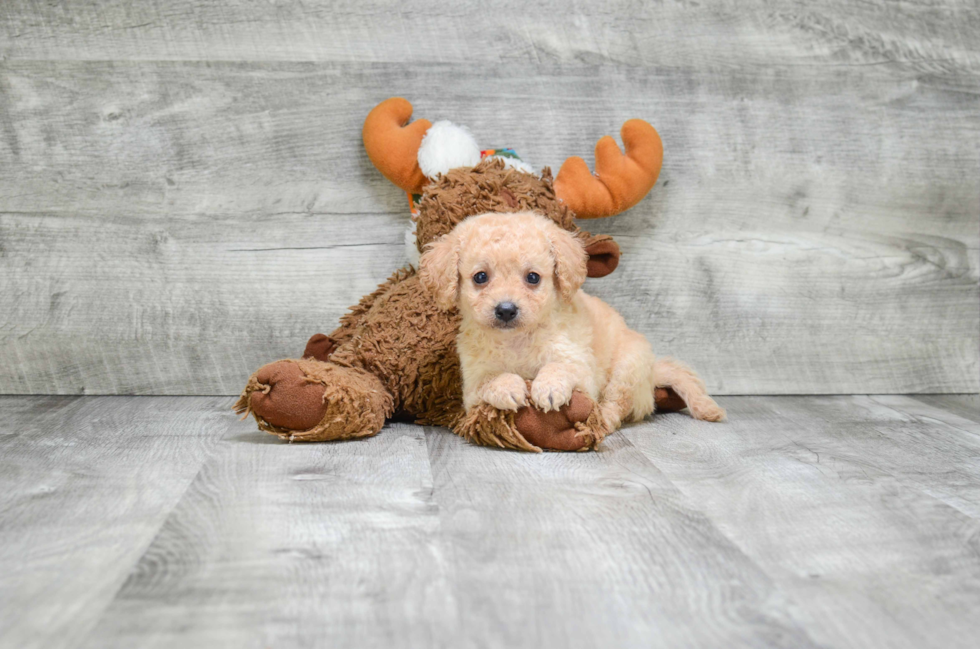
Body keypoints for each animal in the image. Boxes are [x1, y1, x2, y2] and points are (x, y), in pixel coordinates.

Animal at [418, 213, 724, 432]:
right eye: (480, 277)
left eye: (533, 278)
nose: (506, 310)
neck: (517, 339)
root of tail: (652, 373)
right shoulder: (472, 385)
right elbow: (490, 380)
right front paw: (509, 387)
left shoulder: (580, 367)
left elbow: (560, 367)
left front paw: (548, 388)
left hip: (627, 367)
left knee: (617, 404)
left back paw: (601, 420)